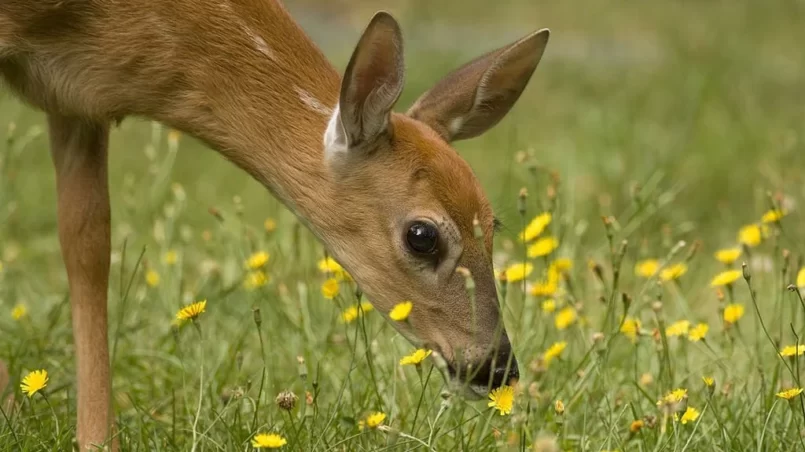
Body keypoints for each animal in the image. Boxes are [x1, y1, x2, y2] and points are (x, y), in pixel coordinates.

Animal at [0, 0, 548, 448]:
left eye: (493, 225)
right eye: (422, 236)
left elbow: (87, 245)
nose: (497, 367)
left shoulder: (77, 101)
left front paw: (93, 438)